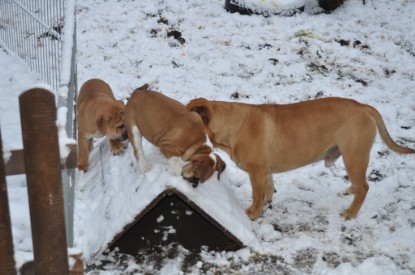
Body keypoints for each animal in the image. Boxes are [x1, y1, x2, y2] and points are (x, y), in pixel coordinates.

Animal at [188, 97, 415, 220]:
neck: (233, 125)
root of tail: (362, 106)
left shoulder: (257, 173)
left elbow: (256, 195)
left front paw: (253, 212)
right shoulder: (265, 172)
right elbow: (268, 188)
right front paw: (267, 202)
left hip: (354, 155)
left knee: (364, 187)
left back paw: (350, 213)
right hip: (354, 159)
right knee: (359, 184)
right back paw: (348, 191)